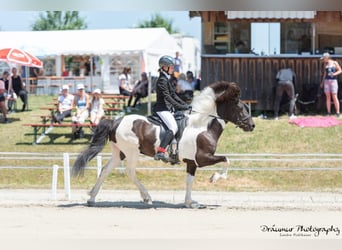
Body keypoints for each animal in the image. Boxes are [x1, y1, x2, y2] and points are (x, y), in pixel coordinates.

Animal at [72, 81, 254, 208]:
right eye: (239, 107)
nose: (252, 125)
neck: (201, 125)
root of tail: (114, 121)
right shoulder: (202, 158)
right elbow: (226, 159)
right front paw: (215, 178)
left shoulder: (192, 162)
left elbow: (189, 181)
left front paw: (190, 203)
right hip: (132, 152)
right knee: (130, 171)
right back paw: (146, 197)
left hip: (119, 153)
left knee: (105, 170)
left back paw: (92, 198)